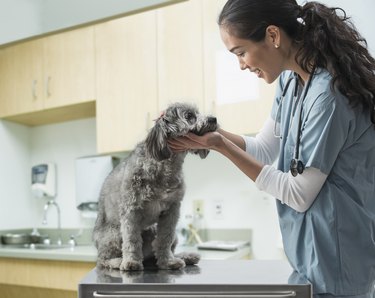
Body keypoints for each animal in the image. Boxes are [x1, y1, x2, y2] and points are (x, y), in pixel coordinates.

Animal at [92, 102, 219, 270]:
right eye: (189, 116)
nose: (213, 118)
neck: (166, 165)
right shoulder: (131, 211)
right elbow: (132, 240)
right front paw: (131, 262)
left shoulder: (171, 211)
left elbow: (165, 239)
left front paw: (168, 261)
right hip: (113, 235)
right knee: (103, 259)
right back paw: (118, 261)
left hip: (160, 232)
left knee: (159, 249)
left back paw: (184, 256)